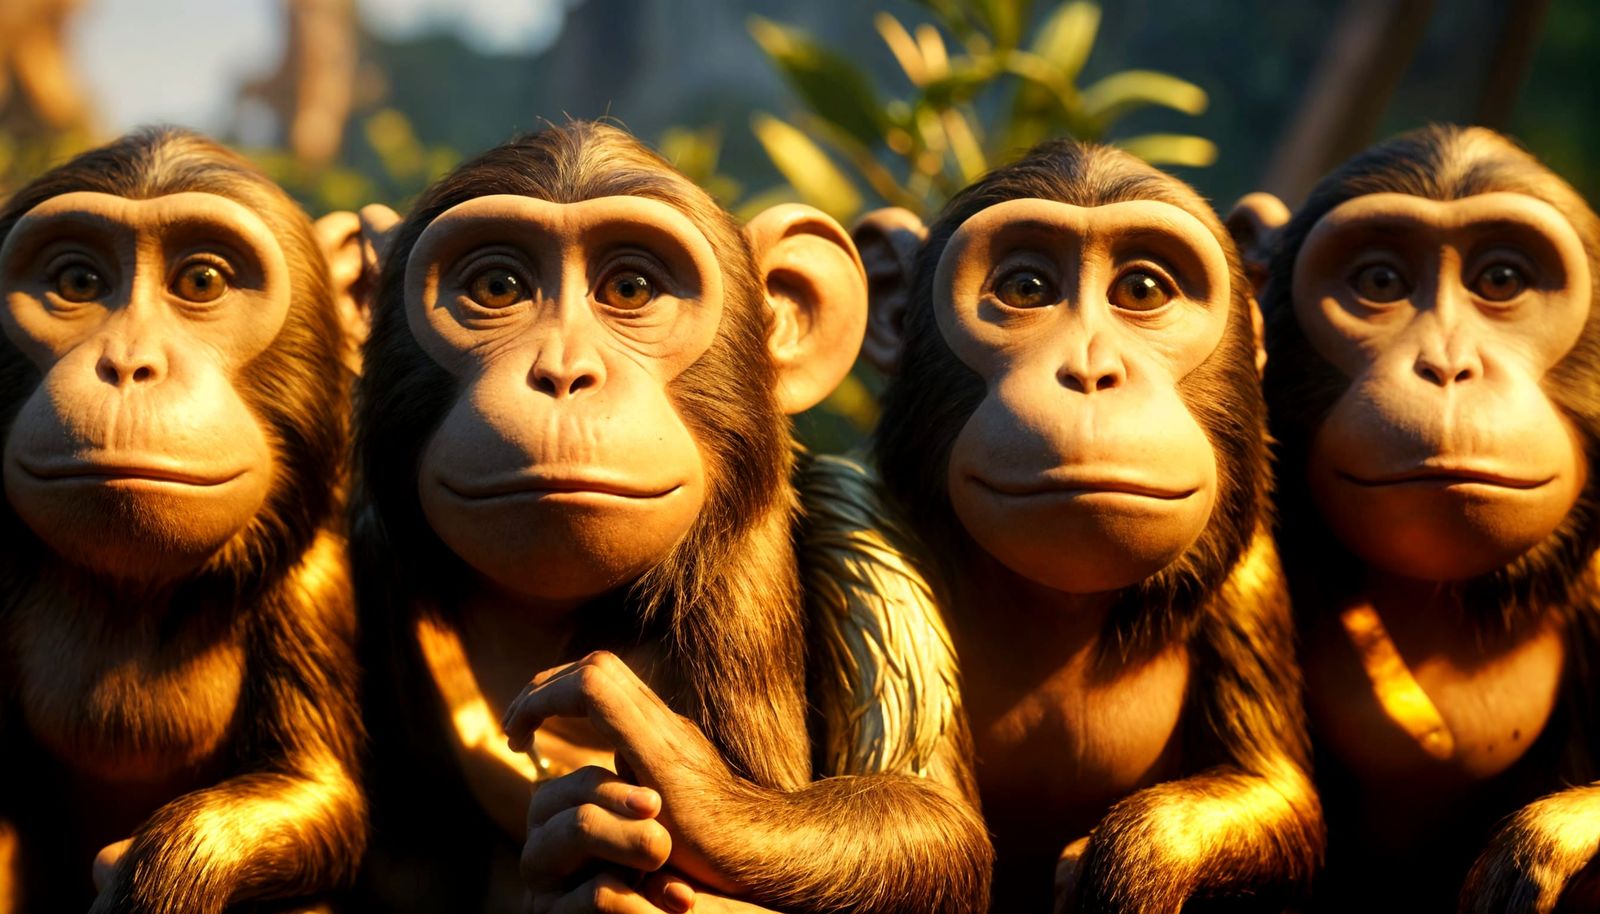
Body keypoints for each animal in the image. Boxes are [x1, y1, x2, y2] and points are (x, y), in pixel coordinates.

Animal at [0, 127, 368, 914]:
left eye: (201, 282)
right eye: (78, 283)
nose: (128, 364)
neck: (131, 594)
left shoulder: (315, 584)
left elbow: (320, 789)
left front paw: (170, 873)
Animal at [346, 120, 991, 914]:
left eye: (631, 288)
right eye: (498, 288)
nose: (563, 373)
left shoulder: (863, 518)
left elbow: (933, 813)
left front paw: (690, 788)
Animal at [859, 138, 1325, 913]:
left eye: (1141, 290)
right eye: (1026, 289)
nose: (1091, 372)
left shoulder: (1252, 573)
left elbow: (1276, 784)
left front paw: (1136, 860)